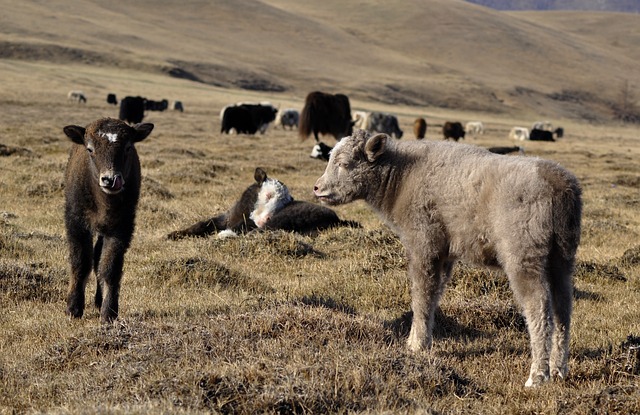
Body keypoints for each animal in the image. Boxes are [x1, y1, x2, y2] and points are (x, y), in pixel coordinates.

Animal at [62, 117, 154, 324]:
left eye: (128, 147)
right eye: (90, 149)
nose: (110, 180)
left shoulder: (121, 228)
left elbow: (109, 266)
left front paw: (109, 313)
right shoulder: (77, 223)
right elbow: (80, 262)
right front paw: (73, 308)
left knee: (98, 259)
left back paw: (99, 300)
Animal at [312, 130, 584, 386]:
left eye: (344, 163)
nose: (317, 188)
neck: (400, 179)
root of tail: (558, 183)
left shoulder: (424, 243)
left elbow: (421, 295)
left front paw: (417, 345)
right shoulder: (444, 253)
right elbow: (433, 295)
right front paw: (419, 340)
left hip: (524, 254)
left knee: (539, 307)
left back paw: (537, 375)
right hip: (562, 255)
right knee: (563, 307)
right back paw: (558, 368)